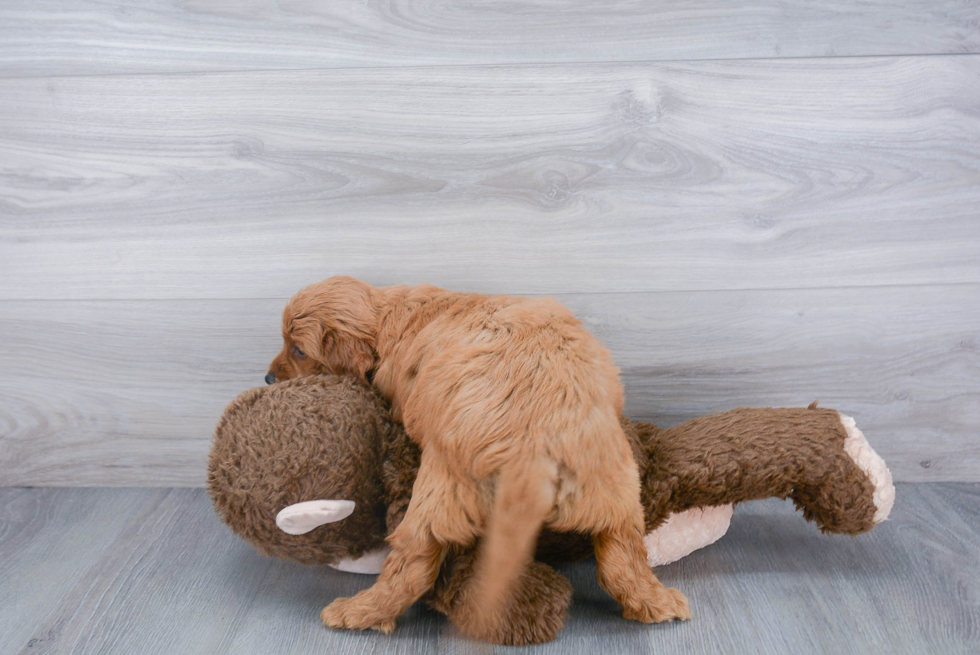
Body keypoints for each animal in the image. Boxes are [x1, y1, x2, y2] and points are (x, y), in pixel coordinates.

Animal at [264, 276, 684, 640]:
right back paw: (657, 603)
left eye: (297, 349)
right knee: (622, 557)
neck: (387, 313)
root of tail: (534, 454)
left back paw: (358, 612)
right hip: (618, 488)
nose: (267, 378)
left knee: (413, 564)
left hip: (438, 491)